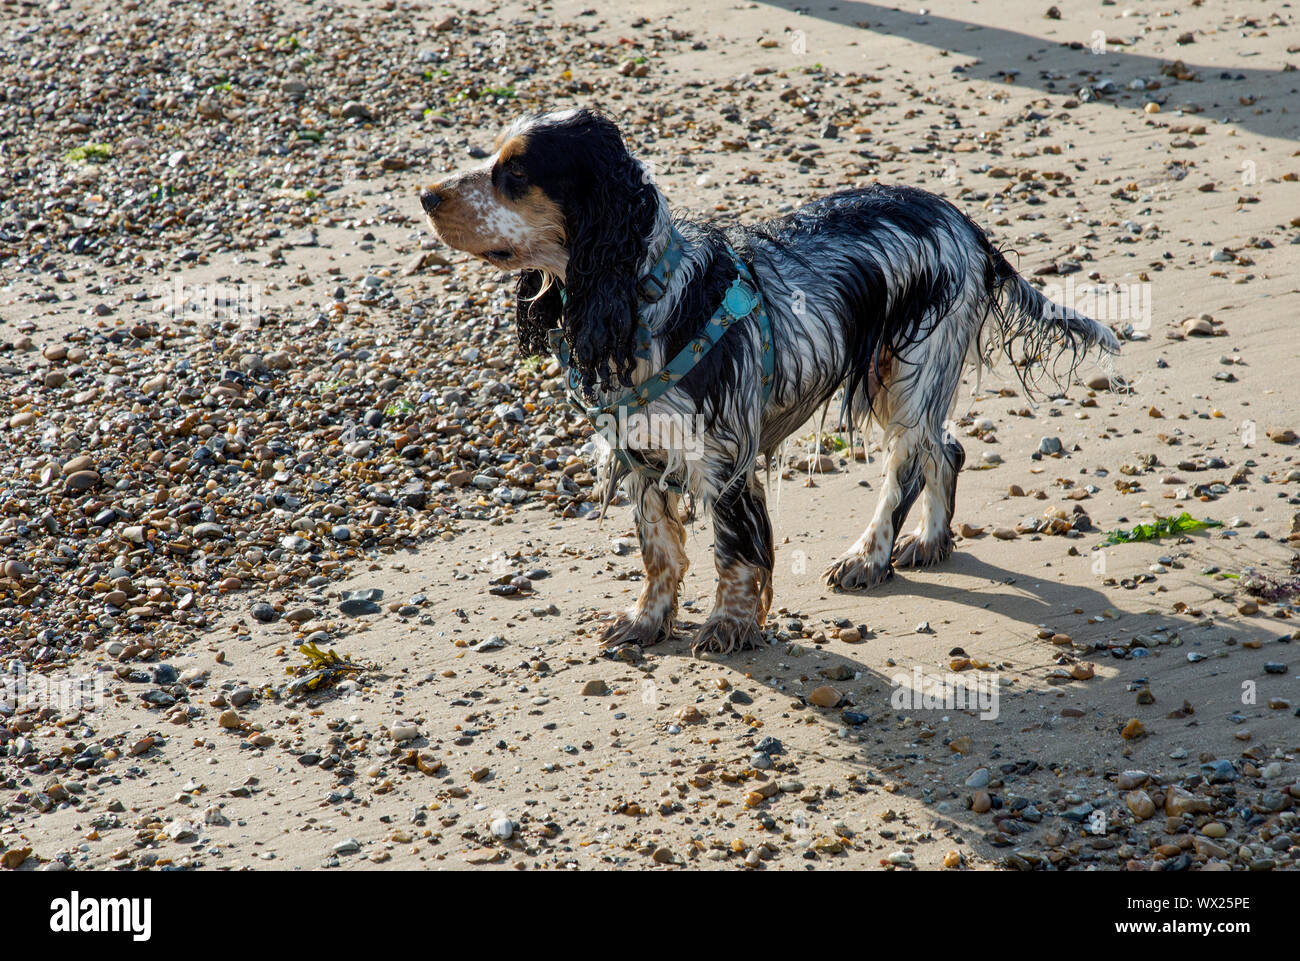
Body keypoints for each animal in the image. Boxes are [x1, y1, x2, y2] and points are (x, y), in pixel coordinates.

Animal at [418, 109, 1118, 658]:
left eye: (515, 173)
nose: (425, 194)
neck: (644, 295)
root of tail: (966, 225)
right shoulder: (641, 448)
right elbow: (658, 548)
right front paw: (645, 622)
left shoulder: (722, 453)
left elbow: (733, 552)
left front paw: (729, 627)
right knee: (946, 450)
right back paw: (930, 541)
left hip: (913, 372)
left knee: (910, 464)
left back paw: (870, 555)